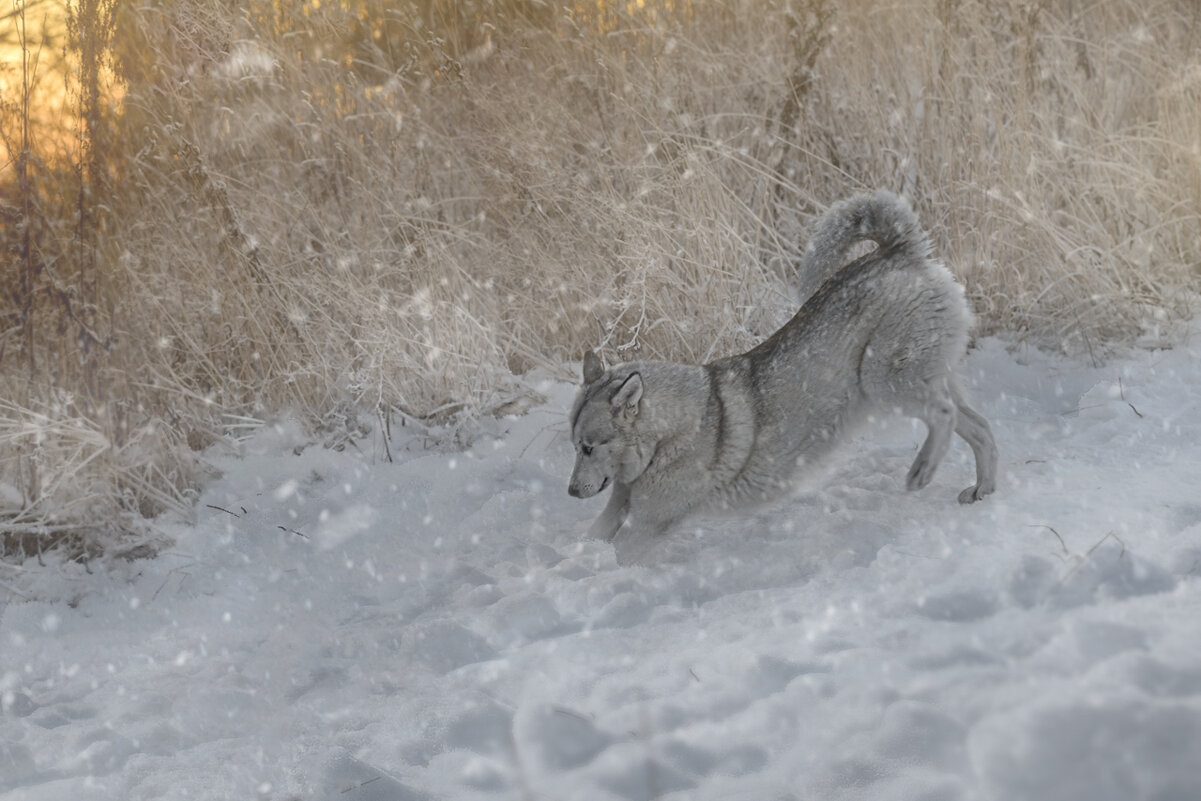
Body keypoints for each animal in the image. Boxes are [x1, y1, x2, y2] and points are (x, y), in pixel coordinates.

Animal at [566, 188, 999, 542]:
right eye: (575, 448)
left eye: (588, 448)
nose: (569, 491)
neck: (668, 435)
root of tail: (899, 248)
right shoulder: (620, 504)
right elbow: (594, 537)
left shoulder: (651, 523)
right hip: (920, 379)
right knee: (980, 427)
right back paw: (983, 491)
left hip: (885, 383)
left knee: (944, 415)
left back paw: (921, 471)